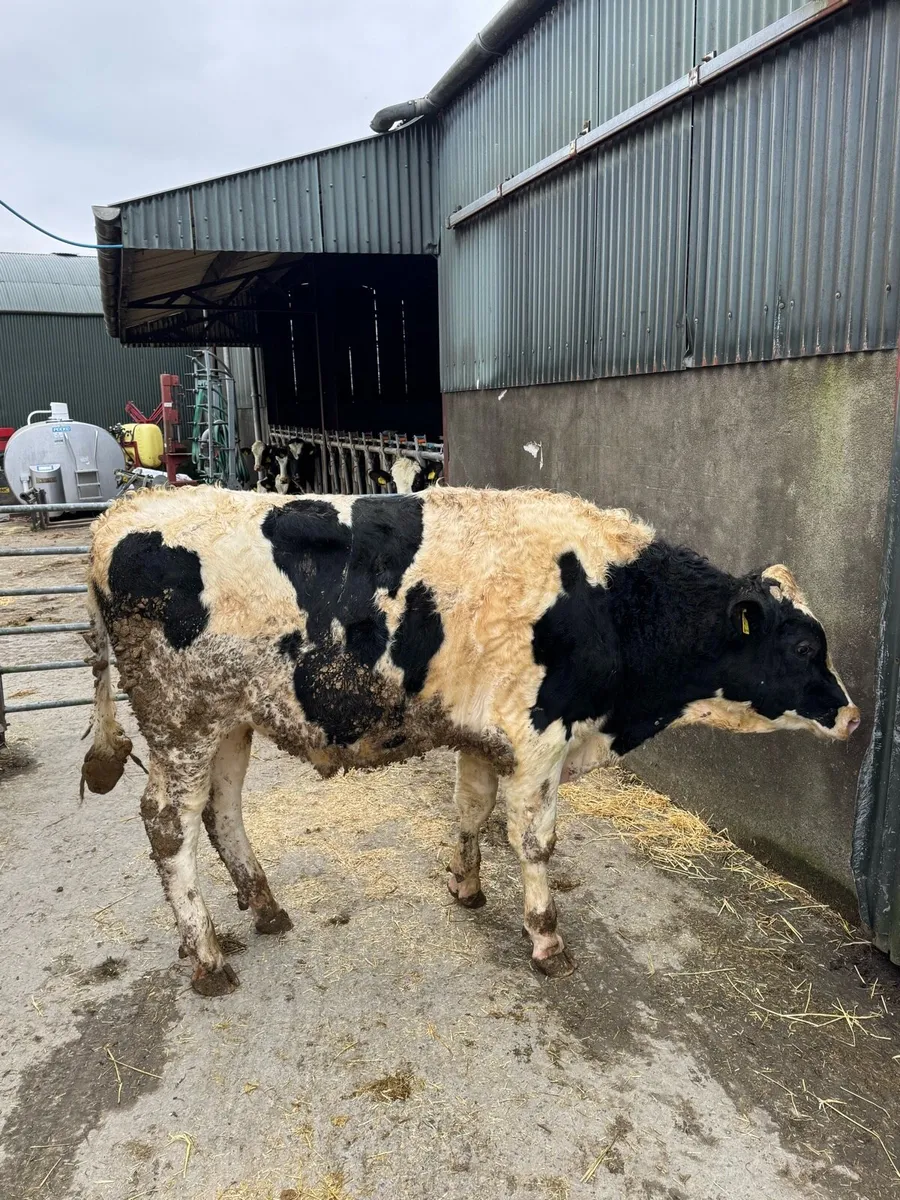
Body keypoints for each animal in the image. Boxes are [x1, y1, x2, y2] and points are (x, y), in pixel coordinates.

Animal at [80, 487, 859, 995]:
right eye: (802, 646)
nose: (853, 717)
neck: (608, 599)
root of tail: (124, 512)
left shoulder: (488, 737)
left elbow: (470, 810)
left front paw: (465, 885)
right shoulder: (541, 736)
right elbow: (535, 843)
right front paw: (547, 941)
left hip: (230, 720)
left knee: (223, 811)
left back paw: (266, 908)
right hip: (182, 720)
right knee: (168, 824)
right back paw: (208, 956)